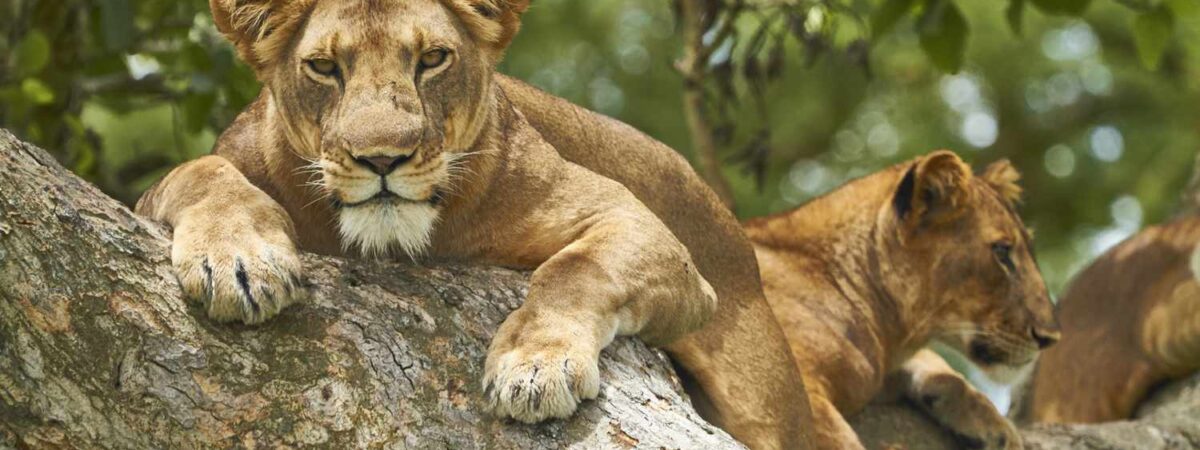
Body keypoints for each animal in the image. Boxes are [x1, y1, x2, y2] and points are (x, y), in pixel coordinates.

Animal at [134, 1, 814, 448]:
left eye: (432, 59)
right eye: (325, 68)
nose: (383, 158)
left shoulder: (637, 225)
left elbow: (576, 268)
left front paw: (534, 366)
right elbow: (201, 172)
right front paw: (238, 261)